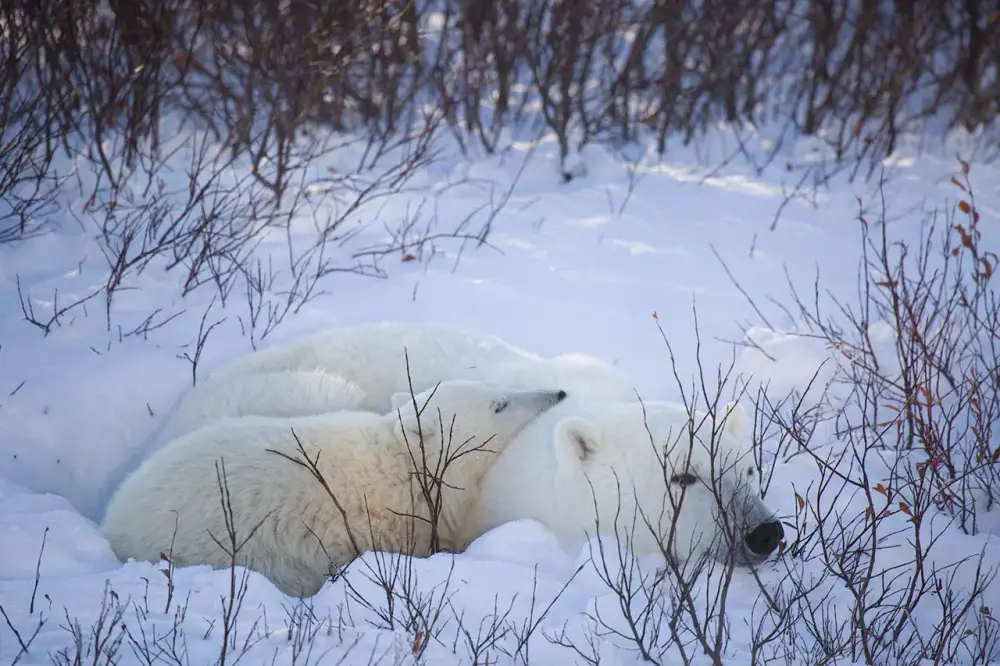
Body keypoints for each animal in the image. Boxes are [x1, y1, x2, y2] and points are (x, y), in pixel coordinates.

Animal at [106, 378, 572, 596]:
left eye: (500, 389)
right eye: (500, 404)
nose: (557, 392)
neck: (405, 468)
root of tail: (113, 523)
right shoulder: (390, 523)